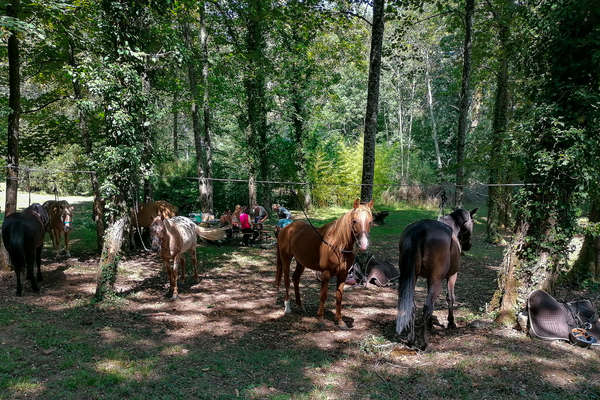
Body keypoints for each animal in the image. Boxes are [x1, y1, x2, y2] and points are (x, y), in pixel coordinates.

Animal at [276, 199, 370, 328]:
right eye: (354, 221)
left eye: (370, 222)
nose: (364, 245)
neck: (337, 245)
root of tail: (286, 228)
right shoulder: (326, 273)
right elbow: (323, 295)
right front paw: (320, 318)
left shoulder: (343, 274)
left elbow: (339, 297)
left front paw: (340, 321)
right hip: (286, 259)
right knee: (286, 280)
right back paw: (287, 307)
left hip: (301, 262)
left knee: (295, 279)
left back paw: (300, 306)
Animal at [394, 208, 478, 348]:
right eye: (473, 222)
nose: (468, 246)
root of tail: (420, 229)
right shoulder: (452, 276)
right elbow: (450, 298)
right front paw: (451, 322)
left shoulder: (429, 279)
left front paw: (429, 324)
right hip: (437, 280)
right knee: (426, 306)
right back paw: (424, 342)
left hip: (411, 277)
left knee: (413, 306)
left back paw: (411, 339)